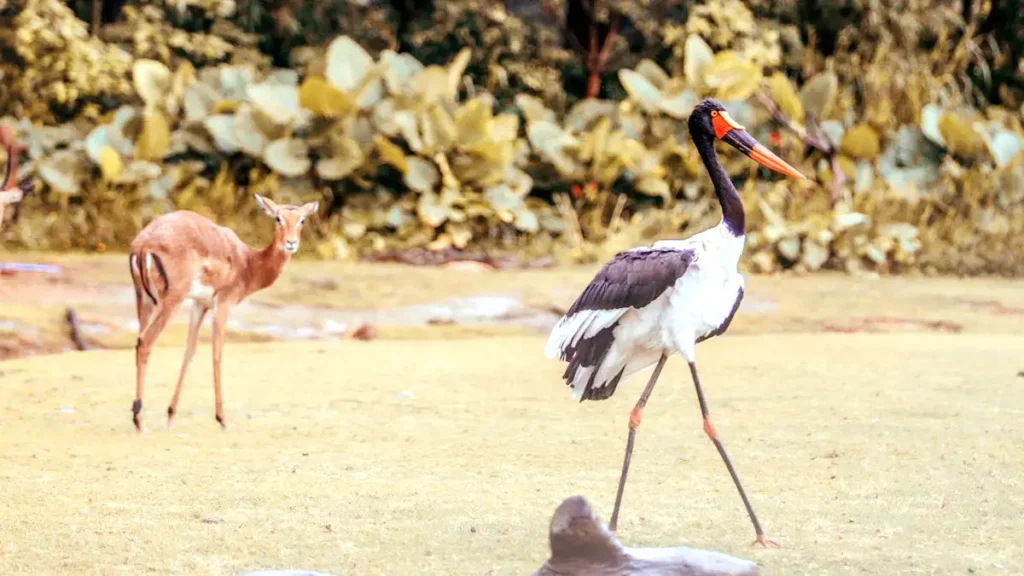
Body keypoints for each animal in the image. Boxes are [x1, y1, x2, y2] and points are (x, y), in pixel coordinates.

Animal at [130, 192, 317, 430]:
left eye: (302, 220)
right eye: (278, 218)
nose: (291, 243)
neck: (247, 262)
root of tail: (144, 243)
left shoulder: (200, 304)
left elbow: (189, 351)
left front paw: (171, 416)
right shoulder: (223, 304)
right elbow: (217, 353)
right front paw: (222, 418)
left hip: (144, 301)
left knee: (139, 342)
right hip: (170, 302)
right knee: (146, 342)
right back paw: (139, 421)